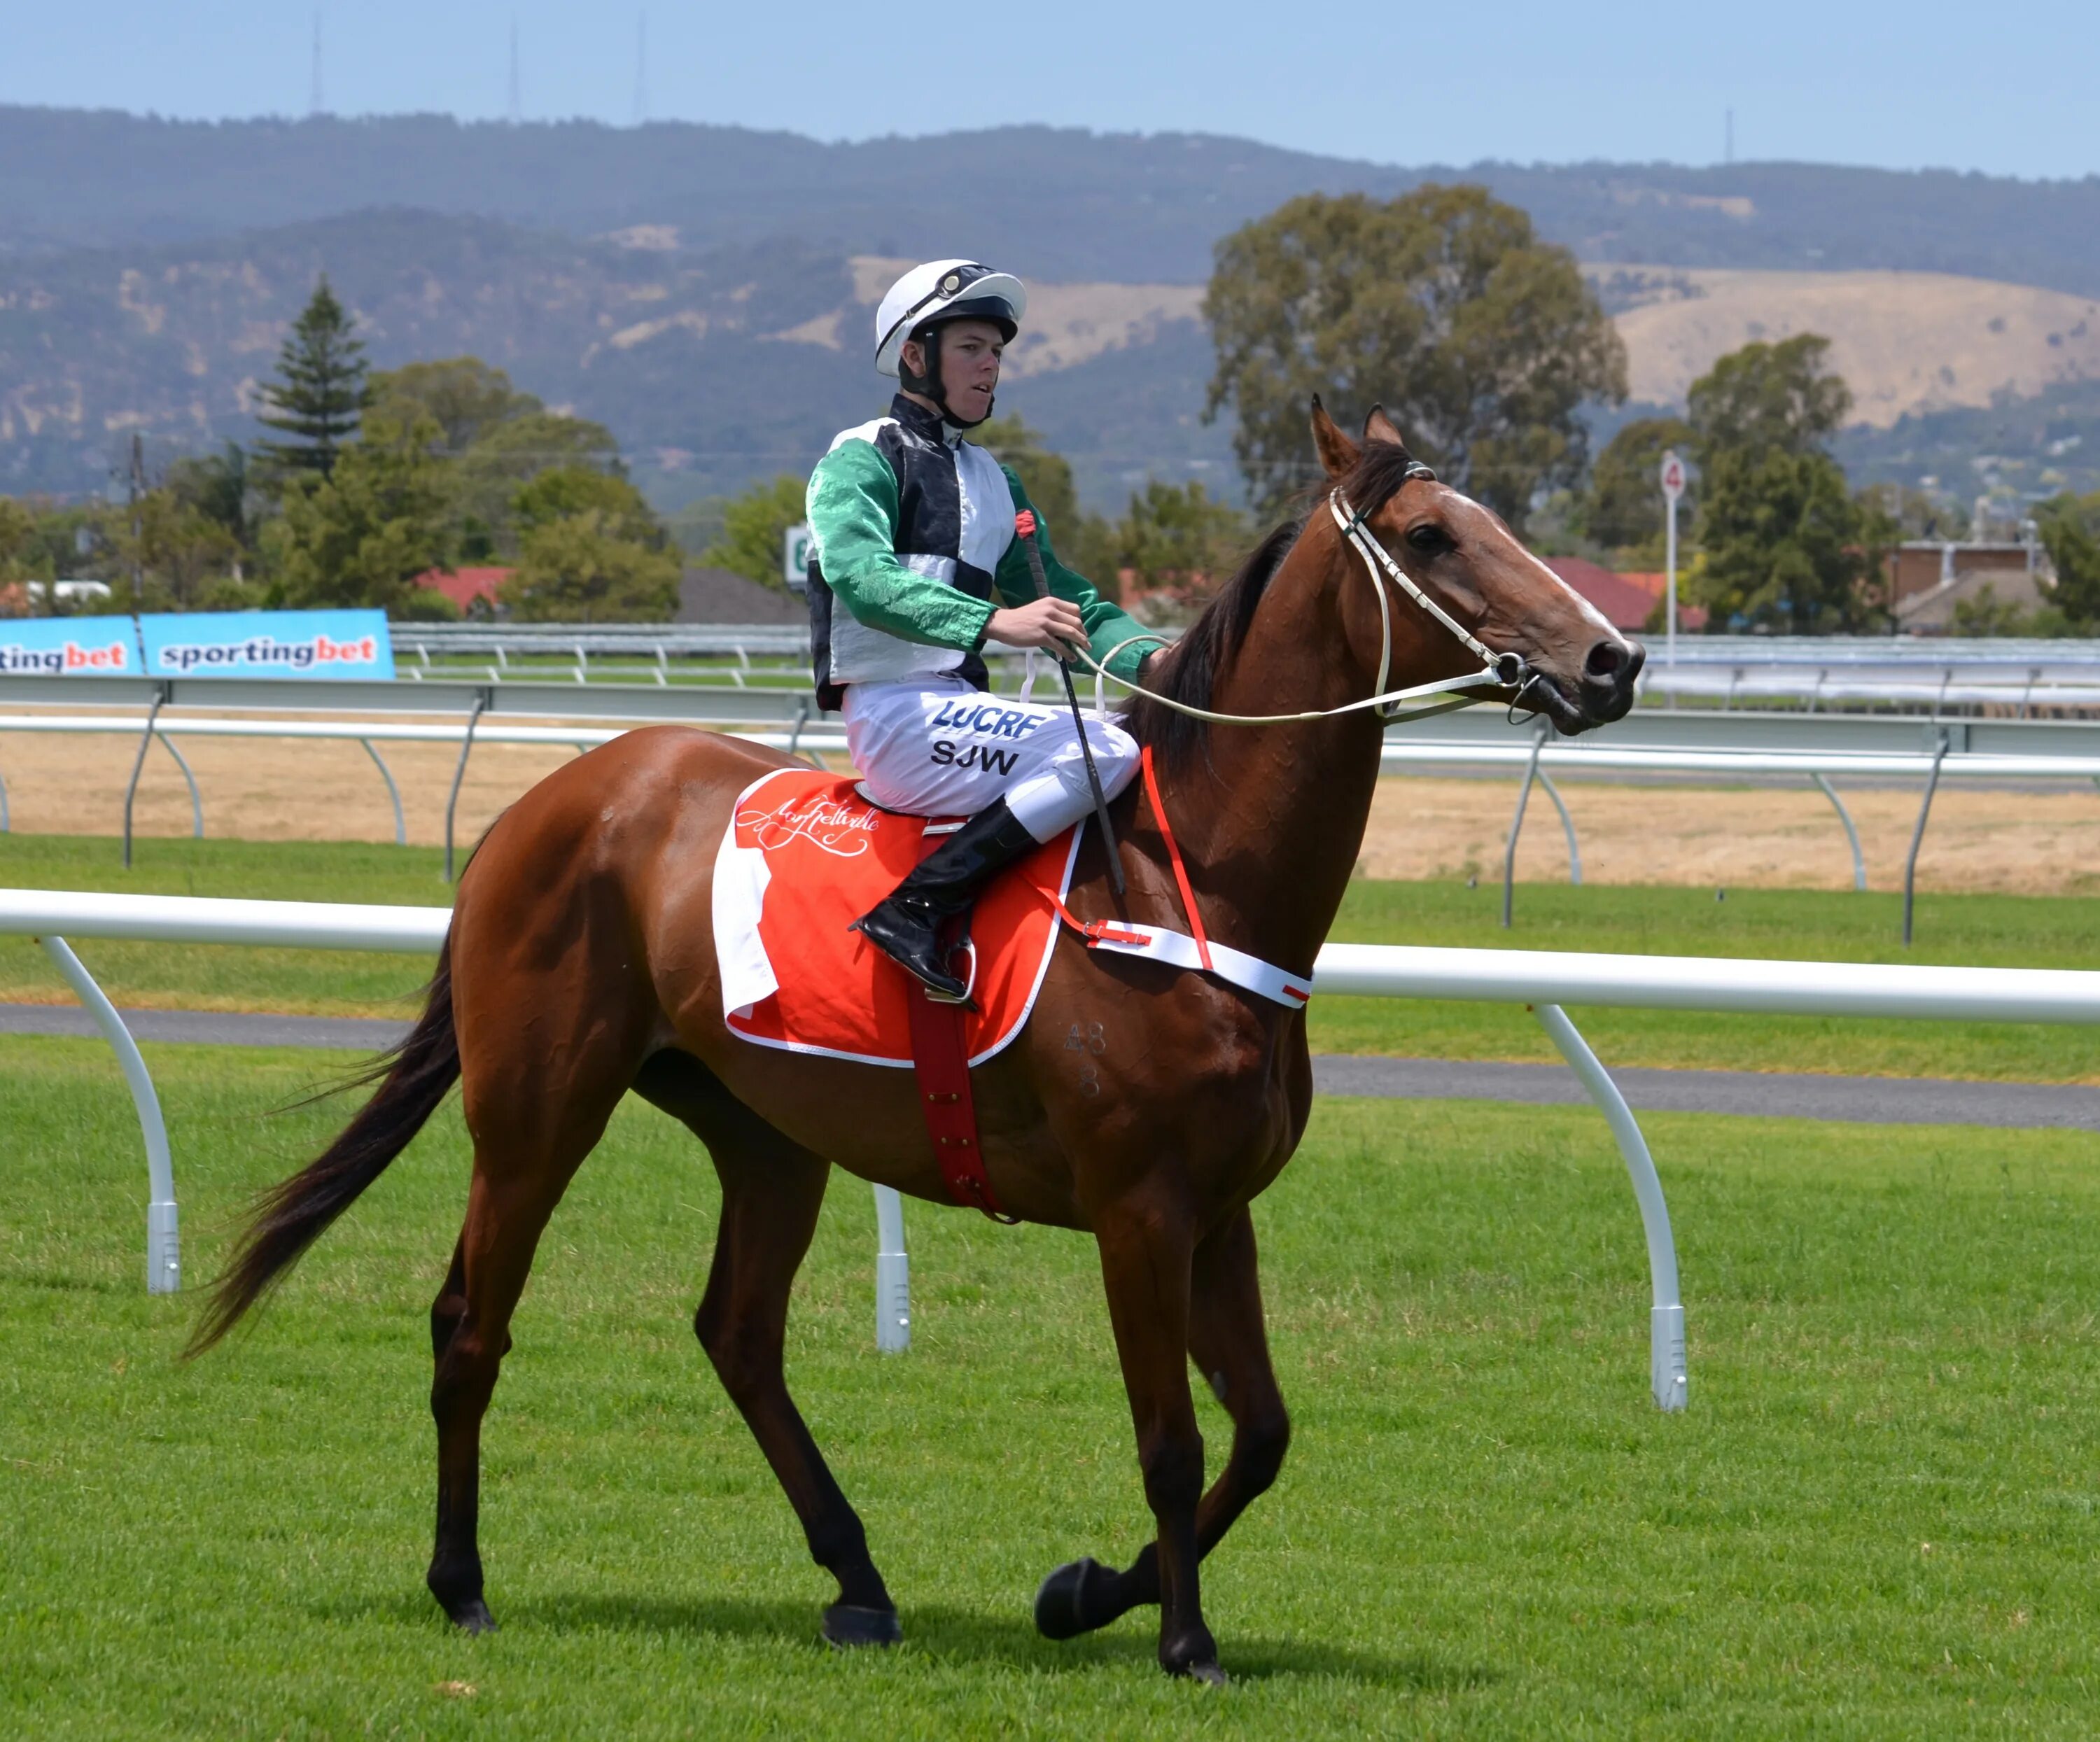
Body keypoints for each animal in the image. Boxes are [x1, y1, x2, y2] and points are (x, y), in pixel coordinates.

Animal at [193, 402, 1638, 1687]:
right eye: (1433, 534)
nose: (1613, 659)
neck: (1190, 883)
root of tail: (540, 804)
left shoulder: (1221, 1205)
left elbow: (1265, 1432)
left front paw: (1085, 1591)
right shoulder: (1139, 1206)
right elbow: (1171, 1438)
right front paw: (1184, 1639)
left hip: (766, 1131)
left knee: (737, 1332)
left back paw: (858, 1577)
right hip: (538, 1109)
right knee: (470, 1319)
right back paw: (463, 1580)